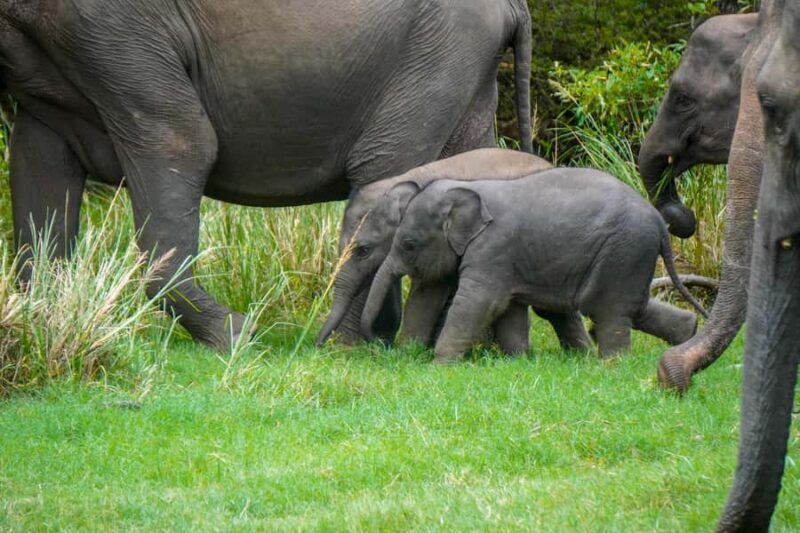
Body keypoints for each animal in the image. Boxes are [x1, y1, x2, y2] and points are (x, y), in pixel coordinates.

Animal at [0, 0, 534, 350]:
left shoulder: (113, 26)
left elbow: (183, 138)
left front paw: (241, 337)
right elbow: (36, 164)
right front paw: (40, 320)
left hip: (440, 51)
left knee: (382, 166)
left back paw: (350, 345)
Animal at [316, 147, 592, 352]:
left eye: (364, 250)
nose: (317, 346)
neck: (401, 181)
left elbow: (426, 287)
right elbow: (430, 289)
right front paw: (409, 354)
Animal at [360, 169, 708, 361]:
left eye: (408, 244)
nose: (373, 344)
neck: (468, 187)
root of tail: (659, 223)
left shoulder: (494, 248)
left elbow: (479, 301)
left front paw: (440, 365)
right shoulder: (502, 258)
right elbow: (497, 305)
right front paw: (519, 361)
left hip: (623, 251)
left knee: (610, 311)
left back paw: (613, 365)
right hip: (628, 257)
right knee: (631, 306)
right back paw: (687, 333)